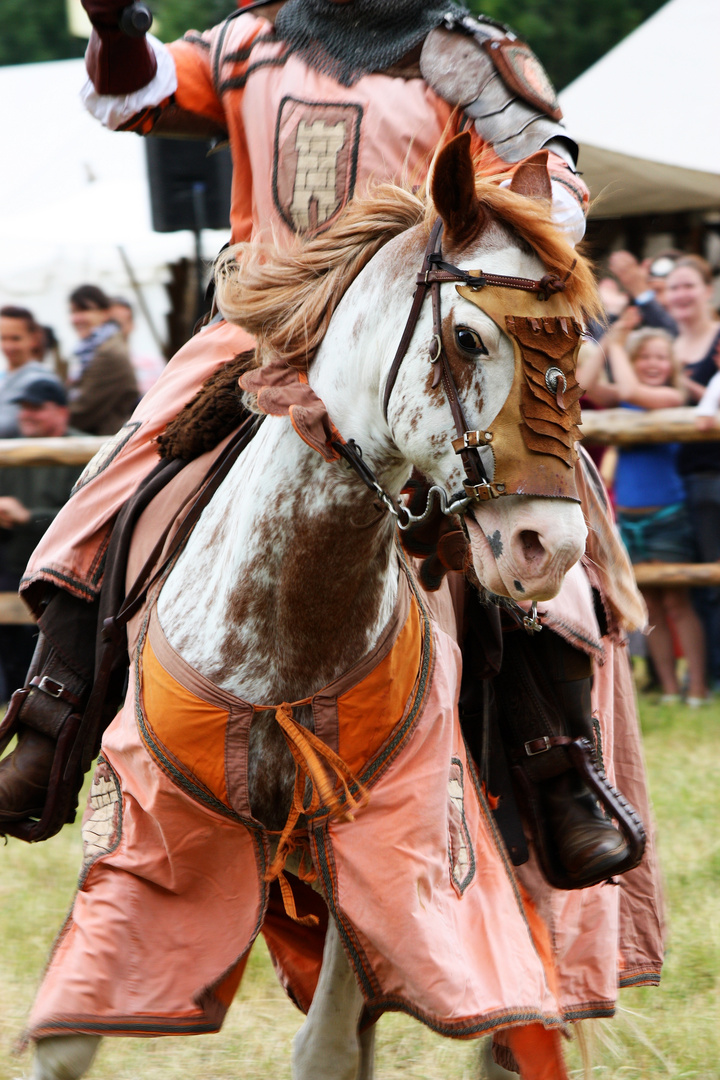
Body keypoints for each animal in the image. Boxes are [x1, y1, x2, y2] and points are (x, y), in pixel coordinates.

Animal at [29, 135, 604, 1080]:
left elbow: (336, 1038)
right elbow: (72, 1030)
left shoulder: (388, 829)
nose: (546, 547)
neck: (288, 629)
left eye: (579, 345)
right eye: (467, 336)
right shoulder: (151, 824)